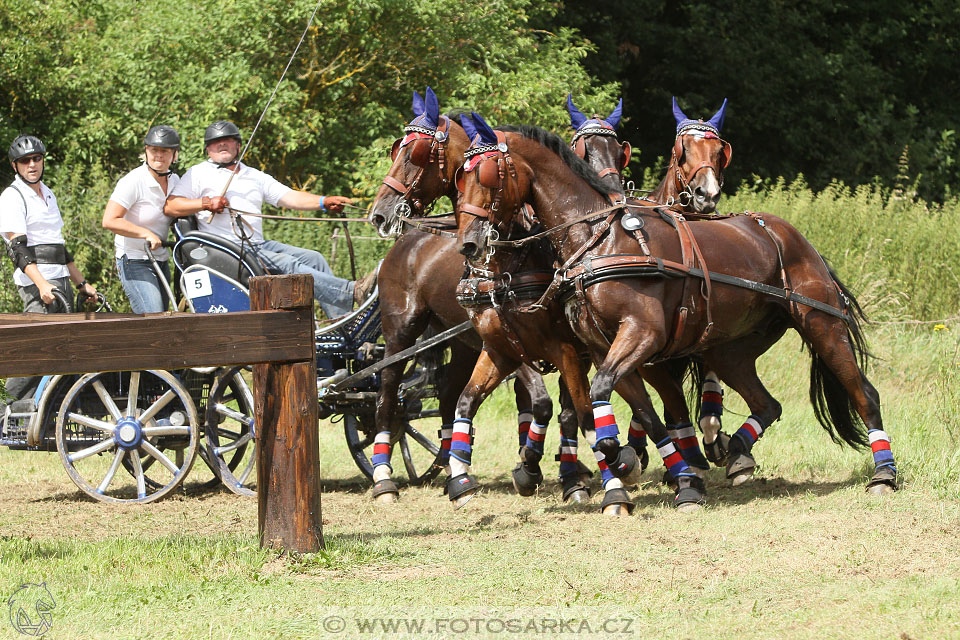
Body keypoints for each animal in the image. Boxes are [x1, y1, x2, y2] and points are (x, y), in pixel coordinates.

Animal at [454, 114, 896, 496]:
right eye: (461, 177)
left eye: (488, 175)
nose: (469, 242)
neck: (598, 237)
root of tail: (795, 238)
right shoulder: (597, 348)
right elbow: (638, 411)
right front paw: (658, 470)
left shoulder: (640, 335)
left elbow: (599, 398)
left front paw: (620, 459)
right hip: (729, 350)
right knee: (765, 403)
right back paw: (734, 451)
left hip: (822, 324)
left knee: (865, 394)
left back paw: (884, 473)